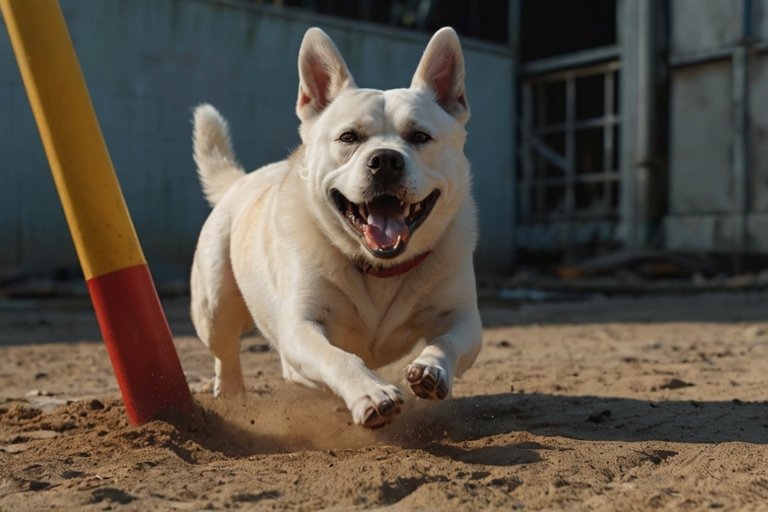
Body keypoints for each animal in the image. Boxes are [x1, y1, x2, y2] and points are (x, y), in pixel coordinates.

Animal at [190, 26, 484, 426]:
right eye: (348, 138)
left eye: (420, 137)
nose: (385, 160)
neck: (379, 267)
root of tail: (240, 181)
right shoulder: (301, 328)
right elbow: (339, 358)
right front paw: (371, 392)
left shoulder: (463, 319)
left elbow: (448, 342)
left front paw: (430, 368)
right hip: (214, 306)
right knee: (226, 352)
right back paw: (233, 392)